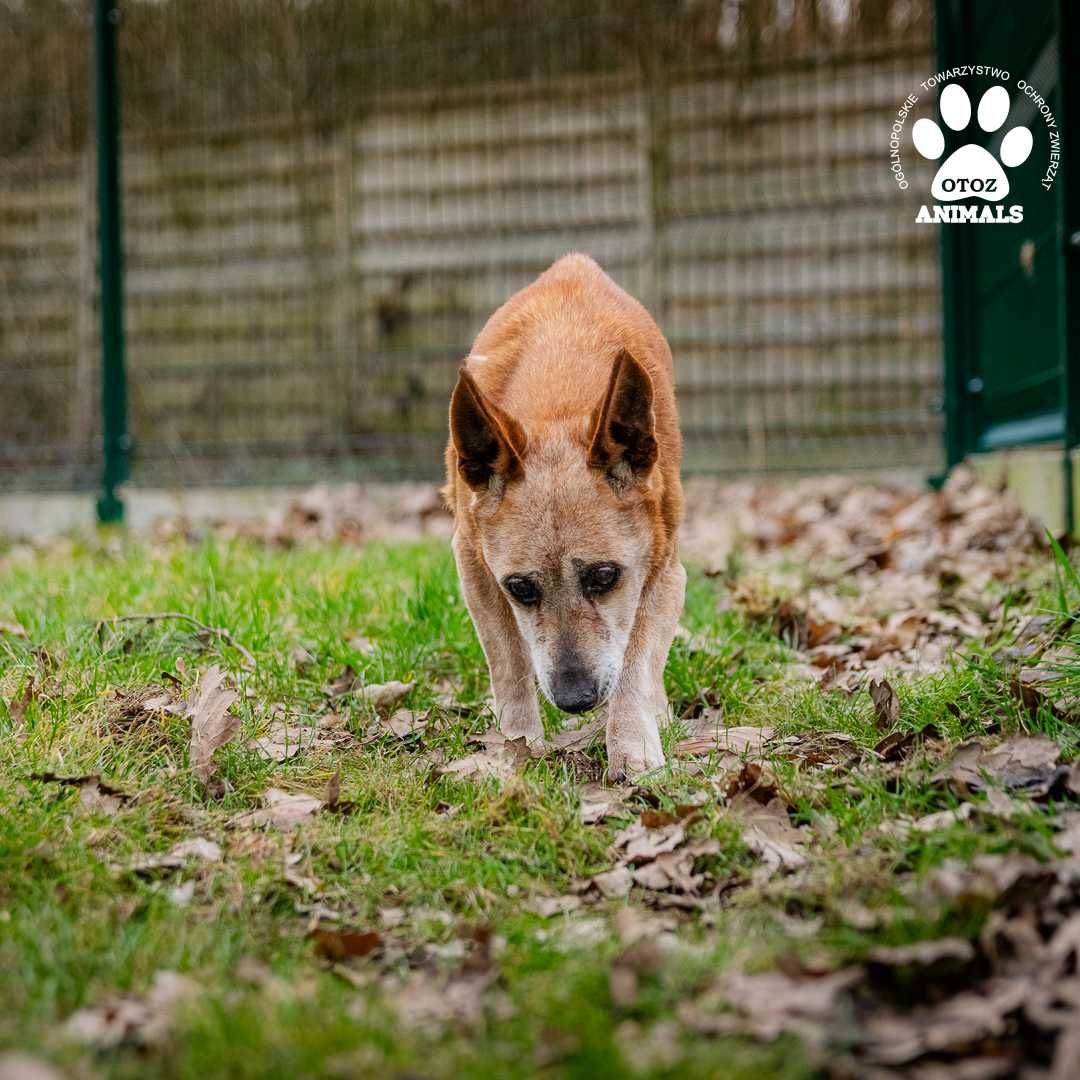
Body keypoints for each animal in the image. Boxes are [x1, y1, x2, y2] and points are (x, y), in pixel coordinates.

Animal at [444, 252, 682, 777]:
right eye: (520, 588)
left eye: (604, 577)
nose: (575, 701)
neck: (559, 396)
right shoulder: (474, 566)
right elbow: (510, 664)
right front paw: (516, 746)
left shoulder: (663, 568)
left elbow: (636, 660)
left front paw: (633, 747)